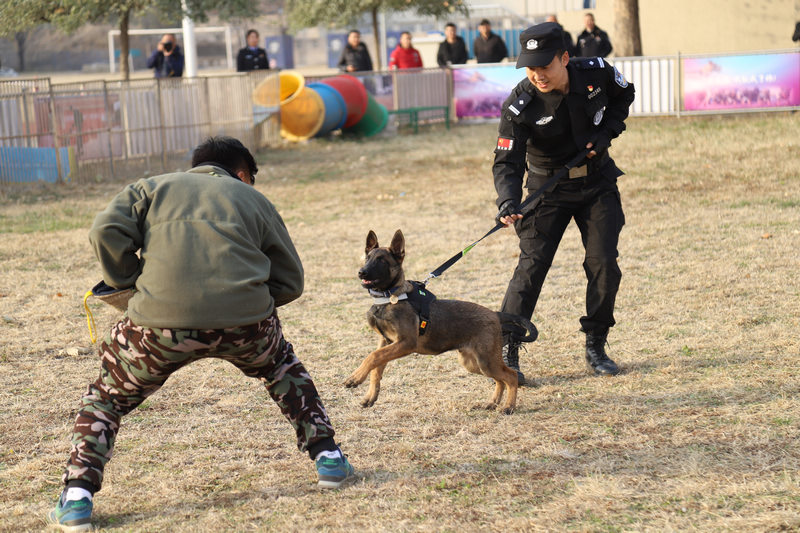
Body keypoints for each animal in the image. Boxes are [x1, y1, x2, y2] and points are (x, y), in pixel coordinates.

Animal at [344, 227, 536, 414]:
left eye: (382, 261)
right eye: (367, 257)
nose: (361, 272)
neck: (389, 297)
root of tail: (495, 314)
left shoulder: (406, 343)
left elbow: (373, 356)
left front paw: (354, 378)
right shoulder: (386, 341)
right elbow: (376, 368)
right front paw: (370, 396)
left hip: (485, 360)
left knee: (510, 376)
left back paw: (508, 406)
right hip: (474, 363)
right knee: (500, 380)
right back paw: (491, 403)